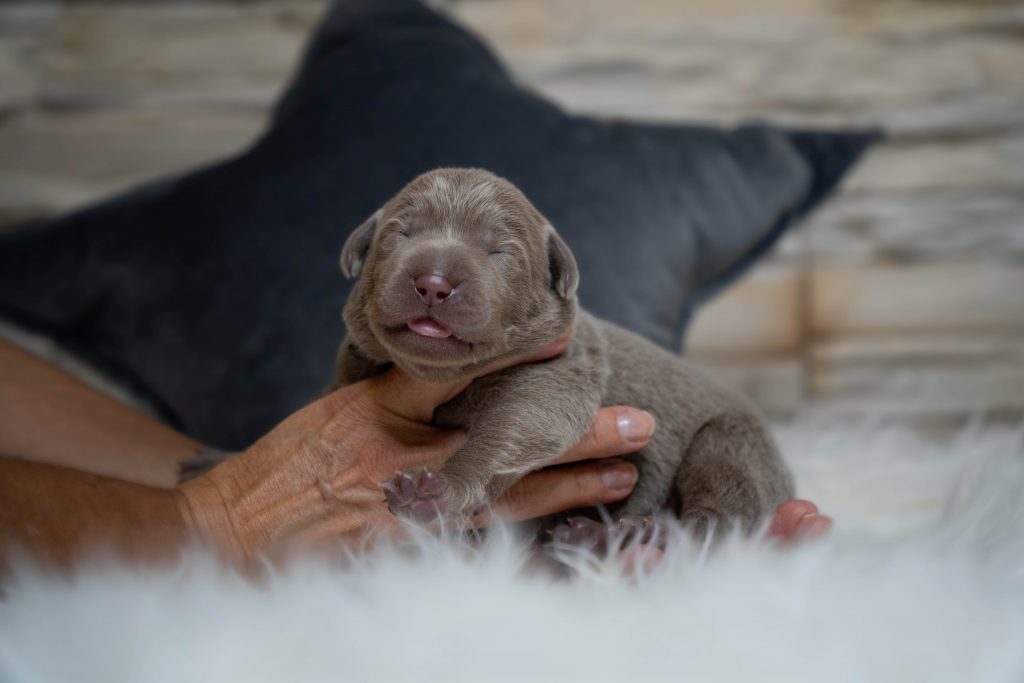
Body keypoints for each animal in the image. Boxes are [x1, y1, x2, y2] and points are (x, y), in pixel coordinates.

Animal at [336, 168, 794, 541]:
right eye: (401, 233)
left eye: (499, 251)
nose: (433, 282)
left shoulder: (560, 371)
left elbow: (517, 423)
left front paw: (439, 491)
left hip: (731, 445)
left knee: (724, 514)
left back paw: (645, 536)